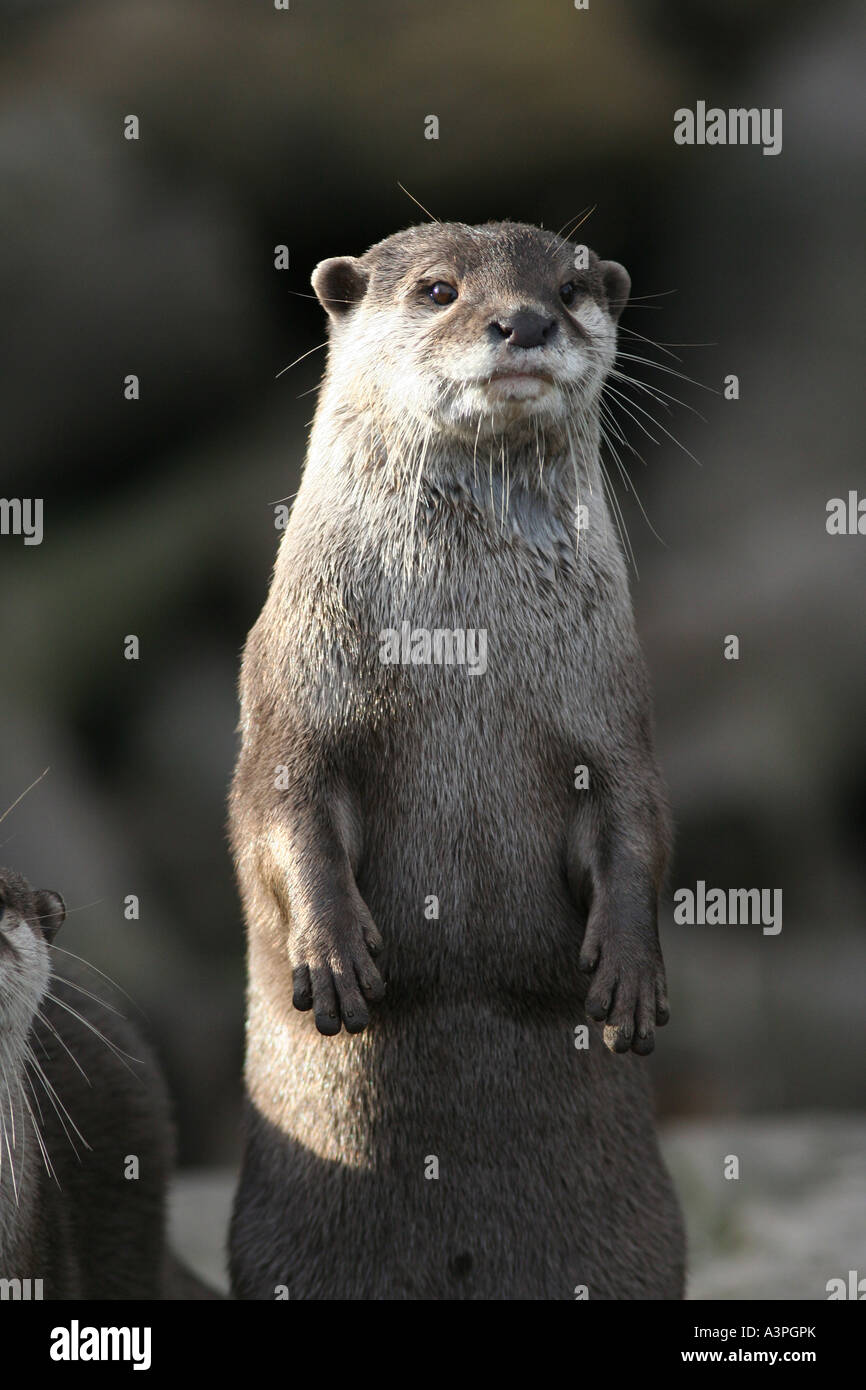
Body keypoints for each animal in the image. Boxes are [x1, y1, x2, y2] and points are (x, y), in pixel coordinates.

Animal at [229, 220, 685, 1300]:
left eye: (569, 288)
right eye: (438, 289)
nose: (521, 321)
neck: (461, 645)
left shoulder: (614, 714)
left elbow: (638, 823)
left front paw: (630, 970)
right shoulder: (294, 693)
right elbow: (281, 810)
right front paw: (332, 951)